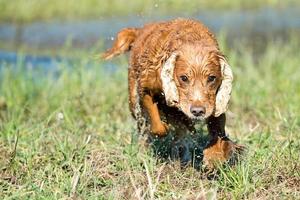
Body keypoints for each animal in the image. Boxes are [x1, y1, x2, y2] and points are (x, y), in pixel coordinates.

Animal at [102, 18, 243, 168]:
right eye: (184, 78)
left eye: (211, 78)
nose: (198, 111)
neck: (191, 39)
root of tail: (140, 30)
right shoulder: (146, 86)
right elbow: (158, 126)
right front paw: (163, 127)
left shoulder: (213, 102)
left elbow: (217, 128)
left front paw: (214, 156)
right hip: (133, 101)